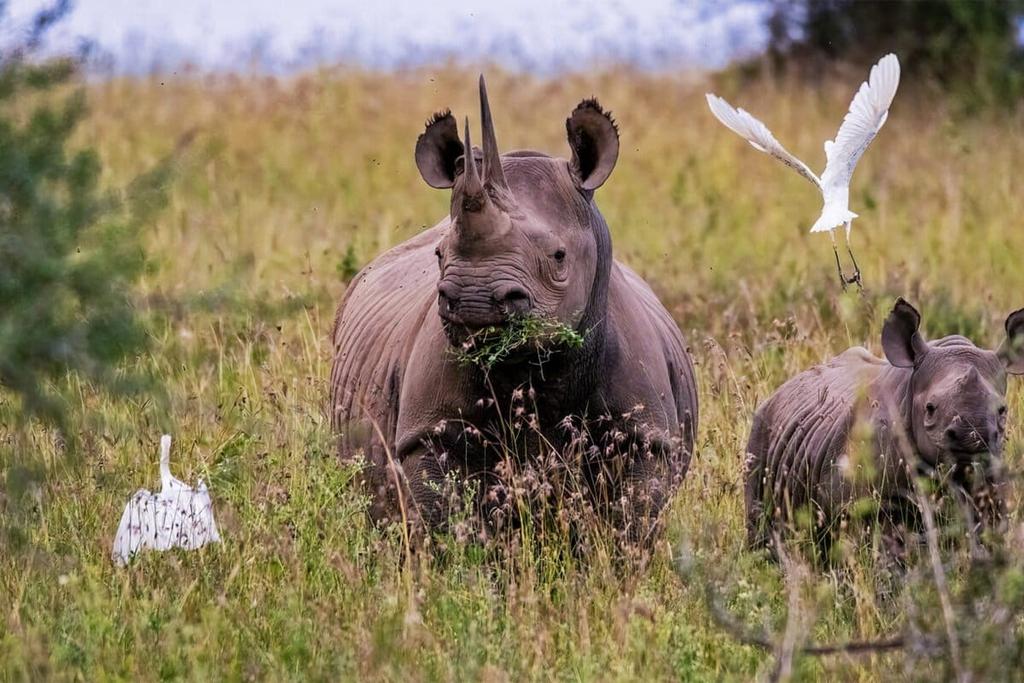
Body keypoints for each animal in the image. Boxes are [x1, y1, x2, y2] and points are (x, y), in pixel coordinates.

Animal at [330, 77, 698, 545]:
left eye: (559, 257)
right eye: (439, 254)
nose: (474, 299)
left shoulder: (645, 437)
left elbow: (629, 523)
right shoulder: (428, 435)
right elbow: (450, 522)